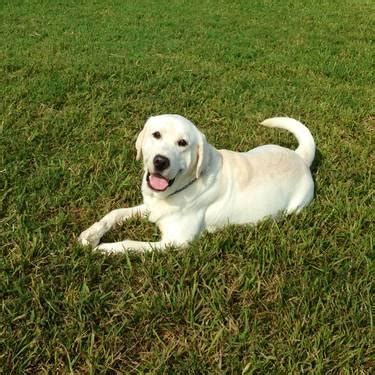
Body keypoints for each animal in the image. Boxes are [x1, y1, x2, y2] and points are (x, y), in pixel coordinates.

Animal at [78, 114, 316, 253]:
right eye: (156, 134)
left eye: (183, 143)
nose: (161, 161)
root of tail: (300, 157)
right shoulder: (151, 207)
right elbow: (115, 213)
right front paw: (91, 234)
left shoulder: (175, 241)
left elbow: (131, 244)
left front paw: (106, 248)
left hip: (297, 207)